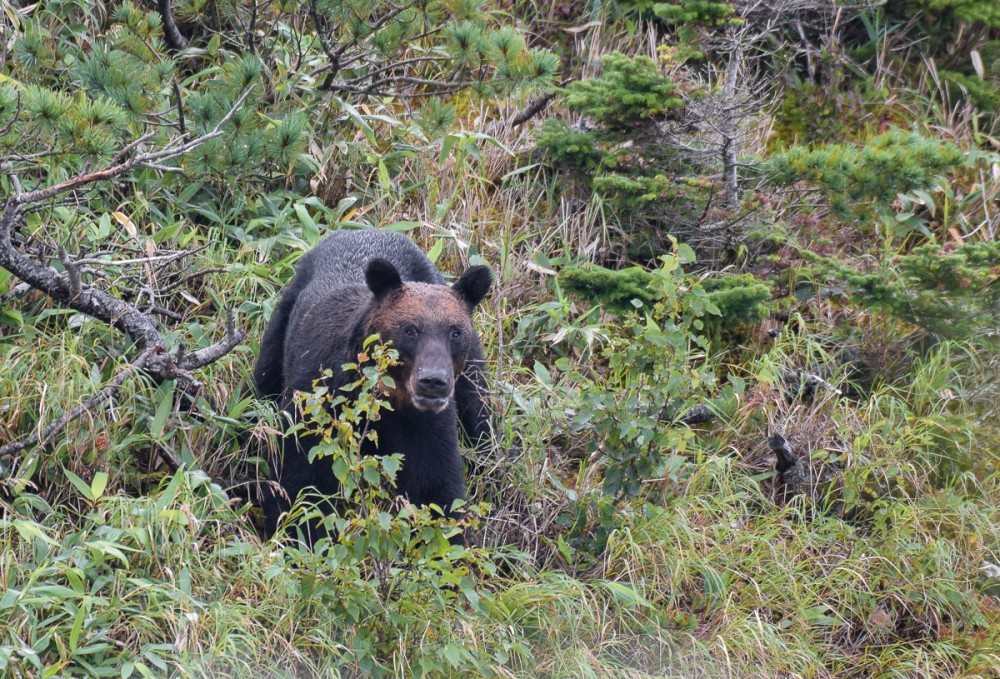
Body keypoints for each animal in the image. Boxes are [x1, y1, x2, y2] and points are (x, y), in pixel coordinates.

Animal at [252, 231, 494, 544]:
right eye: (409, 330)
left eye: (455, 332)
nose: (433, 381)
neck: (386, 397)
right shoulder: (317, 403)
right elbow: (300, 483)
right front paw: (300, 535)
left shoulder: (427, 426)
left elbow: (436, 489)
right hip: (281, 321)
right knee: (263, 379)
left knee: (481, 415)